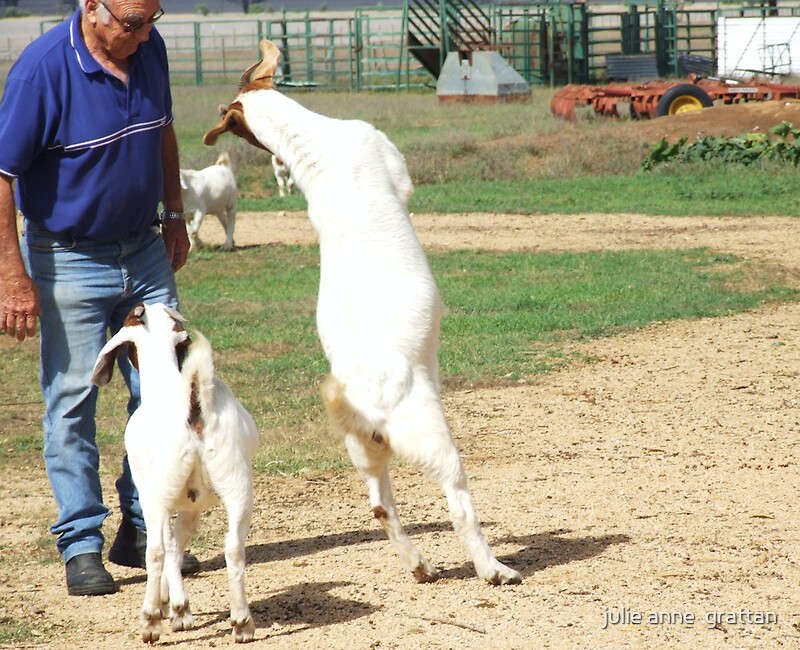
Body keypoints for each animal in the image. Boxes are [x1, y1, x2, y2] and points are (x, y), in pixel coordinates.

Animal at [92, 302, 258, 640]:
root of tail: (193, 406)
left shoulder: (156, 495)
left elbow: (168, 544)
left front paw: (176, 608)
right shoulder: (192, 503)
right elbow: (179, 541)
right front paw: (179, 606)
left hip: (158, 492)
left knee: (155, 549)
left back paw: (150, 620)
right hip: (237, 483)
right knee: (233, 548)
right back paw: (242, 621)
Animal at [203, 40, 520, 588]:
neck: (314, 145)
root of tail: (363, 407)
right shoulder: (389, 160)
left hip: (363, 451)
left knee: (379, 506)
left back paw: (419, 565)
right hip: (431, 437)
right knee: (458, 502)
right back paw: (494, 568)